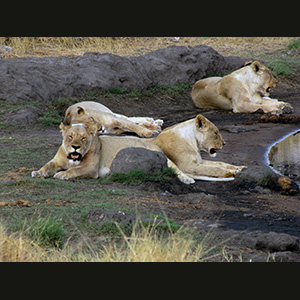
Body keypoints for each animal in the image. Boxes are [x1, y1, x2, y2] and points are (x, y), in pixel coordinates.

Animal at [31, 114, 245, 183]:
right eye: (69, 137)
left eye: (83, 138)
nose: (224, 143)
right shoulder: (192, 164)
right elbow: (48, 166)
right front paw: (38, 172)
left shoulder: (91, 168)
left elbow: (219, 164)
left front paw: (236, 169)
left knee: (176, 171)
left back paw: (187, 180)